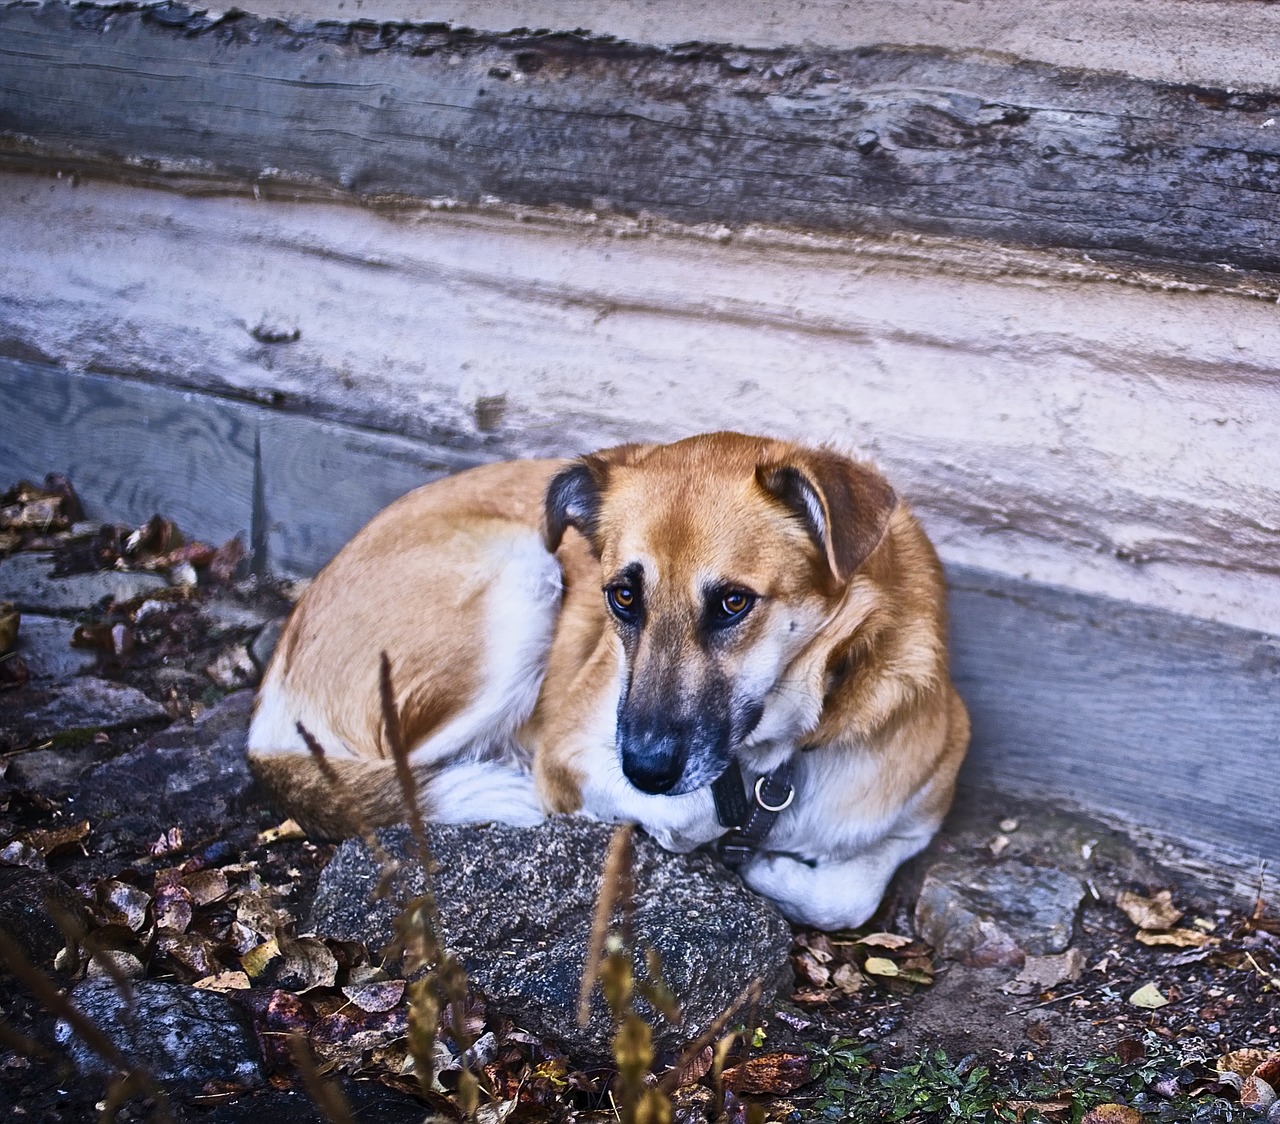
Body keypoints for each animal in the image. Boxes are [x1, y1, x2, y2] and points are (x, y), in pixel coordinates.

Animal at [247, 435, 967, 926]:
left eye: (734, 603)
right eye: (623, 596)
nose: (644, 767)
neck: (776, 760)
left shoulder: (925, 807)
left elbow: (851, 895)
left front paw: (770, 868)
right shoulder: (571, 749)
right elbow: (687, 815)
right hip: (522, 576)